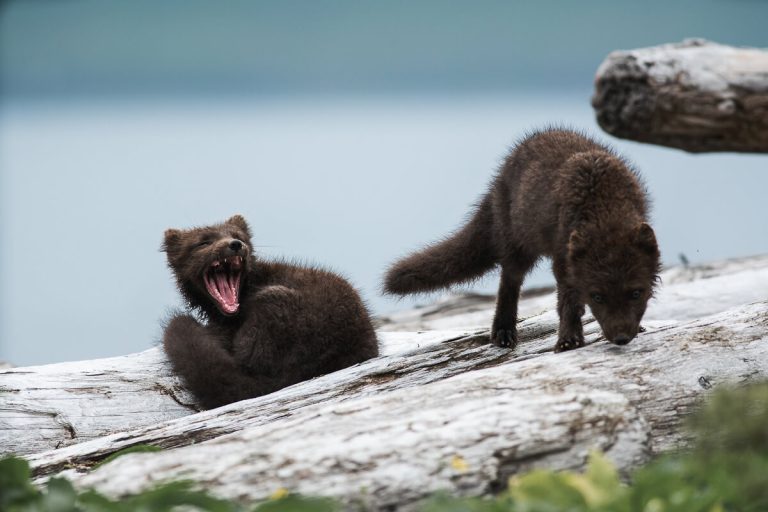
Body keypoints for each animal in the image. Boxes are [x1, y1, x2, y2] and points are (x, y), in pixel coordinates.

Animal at [383, 128, 661, 352]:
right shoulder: (562, 257)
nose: (621, 338)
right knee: (509, 281)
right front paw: (568, 341)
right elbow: (568, 302)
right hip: (515, 242)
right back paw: (503, 333)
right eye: (597, 296)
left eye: (636, 292)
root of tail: (497, 180)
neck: (603, 205)